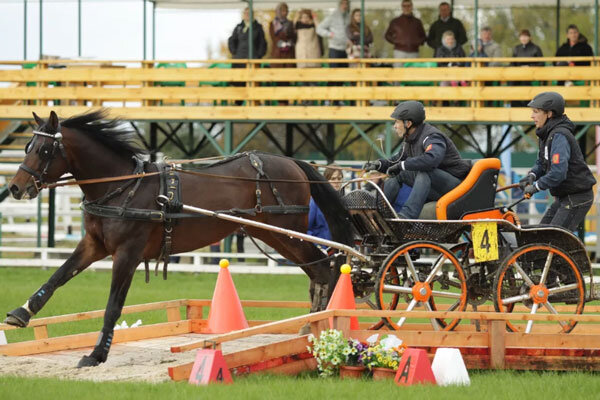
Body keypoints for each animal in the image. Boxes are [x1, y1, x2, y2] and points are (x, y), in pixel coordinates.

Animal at [5, 111, 352, 368]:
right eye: (27, 146)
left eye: (45, 150)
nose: (15, 188)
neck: (123, 186)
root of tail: (292, 162)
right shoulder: (94, 244)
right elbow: (58, 276)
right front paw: (22, 312)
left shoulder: (127, 253)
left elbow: (113, 305)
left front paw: (97, 354)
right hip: (273, 235)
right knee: (319, 271)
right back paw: (312, 323)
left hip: (286, 234)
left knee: (326, 269)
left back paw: (323, 322)